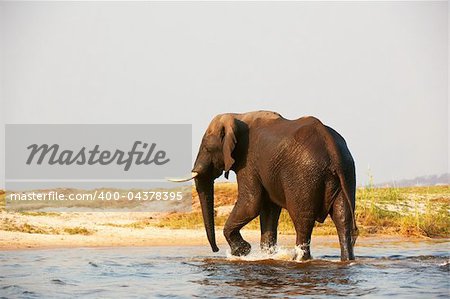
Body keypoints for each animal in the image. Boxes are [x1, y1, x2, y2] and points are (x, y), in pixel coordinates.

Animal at [171, 111, 358, 262]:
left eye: (207, 148)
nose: (215, 250)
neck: (238, 116)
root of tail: (332, 148)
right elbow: (268, 209)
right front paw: (267, 256)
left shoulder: (248, 161)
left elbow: (251, 203)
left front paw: (242, 252)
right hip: (347, 173)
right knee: (343, 218)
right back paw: (346, 260)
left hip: (305, 176)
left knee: (302, 219)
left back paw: (298, 260)